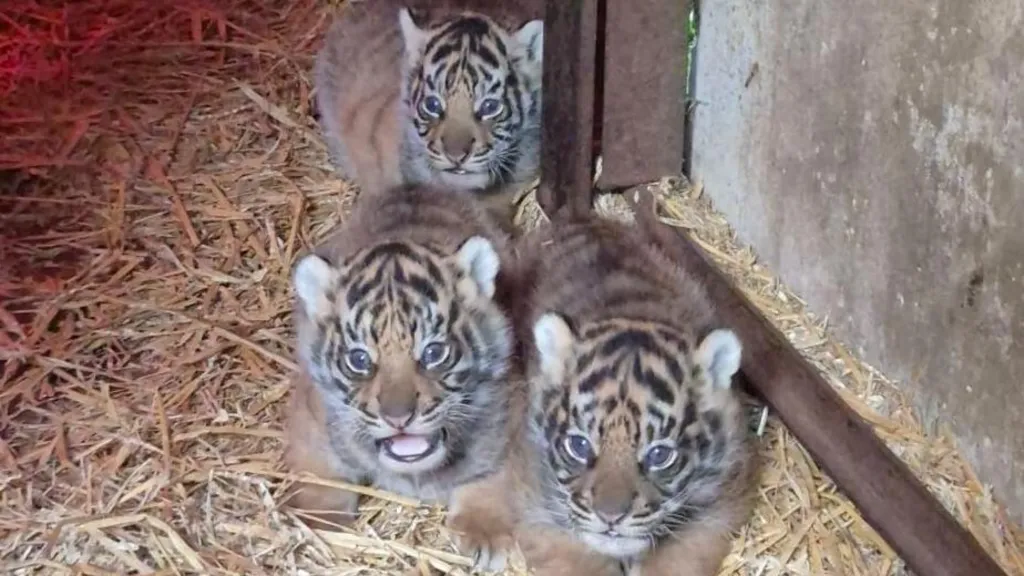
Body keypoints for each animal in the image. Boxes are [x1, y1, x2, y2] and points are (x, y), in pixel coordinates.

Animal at [281, 183, 523, 555]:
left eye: (434, 352)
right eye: (359, 360)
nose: (398, 418)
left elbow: (493, 473)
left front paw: (484, 532)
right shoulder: (311, 417)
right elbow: (318, 472)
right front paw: (318, 525)